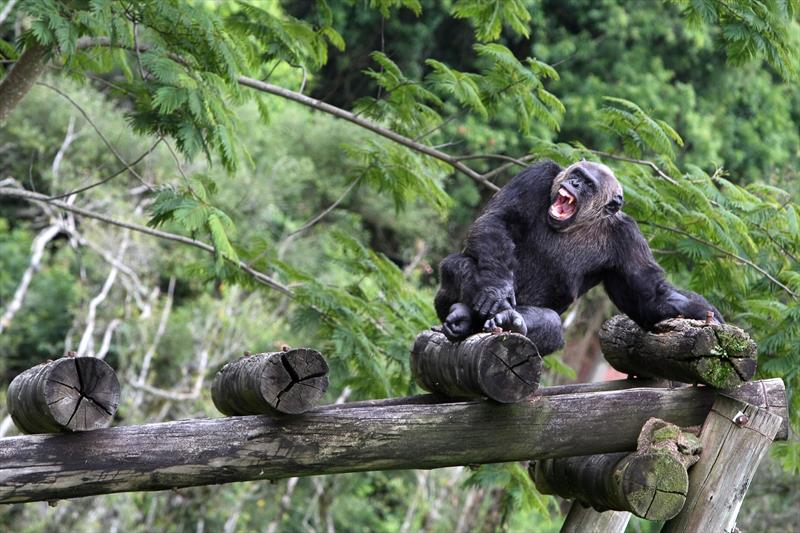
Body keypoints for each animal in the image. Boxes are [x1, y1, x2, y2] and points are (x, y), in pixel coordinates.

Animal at [434, 160, 720, 356]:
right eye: (577, 175)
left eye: (589, 185)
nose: (574, 184)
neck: (578, 223)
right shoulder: (536, 177)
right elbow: (498, 220)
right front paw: (496, 289)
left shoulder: (628, 239)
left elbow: (648, 296)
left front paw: (701, 313)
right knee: (457, 265)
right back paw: (464, 313)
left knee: (550, 324)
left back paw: (509, 321)